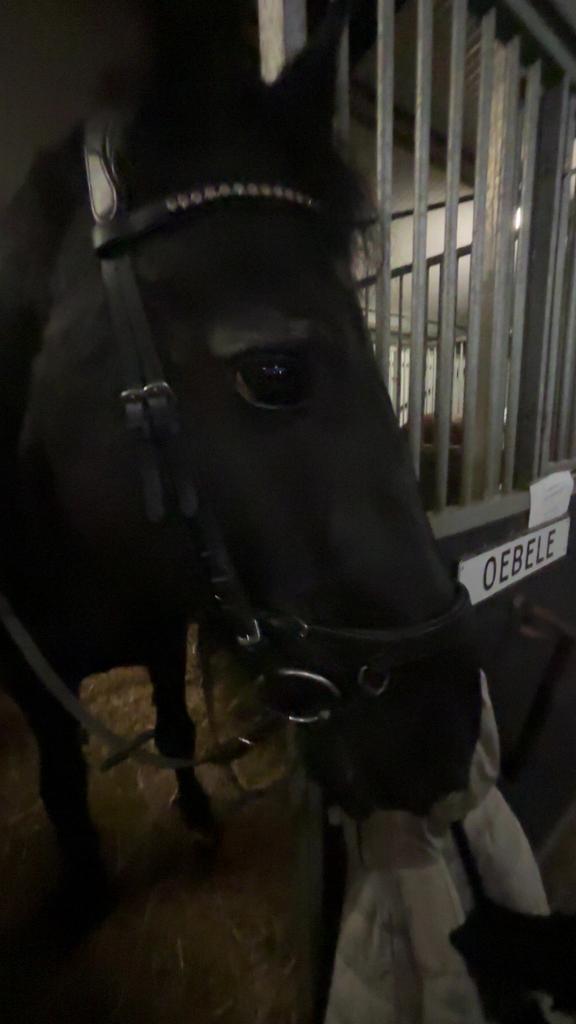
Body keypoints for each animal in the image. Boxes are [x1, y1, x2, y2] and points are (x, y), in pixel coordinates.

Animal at [0, 0, 482, 905]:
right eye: (274, 373)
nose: (446, 729)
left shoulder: (162, 636)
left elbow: (175, 725)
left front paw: (196, 820)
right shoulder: (33, 688)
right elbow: (62, 783)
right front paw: (85, 882)